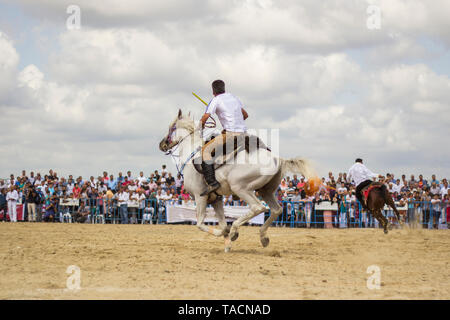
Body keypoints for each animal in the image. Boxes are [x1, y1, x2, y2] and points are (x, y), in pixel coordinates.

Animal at [160, 110, 318, 252]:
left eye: (171, 127)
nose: (162, 144)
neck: (191, 157)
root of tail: (277, 159)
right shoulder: (216, 199)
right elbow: (222, 223)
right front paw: (227, 244)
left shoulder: (200, 197)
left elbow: (200, 223)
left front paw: (226, 233)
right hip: (265, 191)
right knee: (276, 209)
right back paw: (263, 237)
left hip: (240, 188)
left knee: (258, 208)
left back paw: (235, 230)